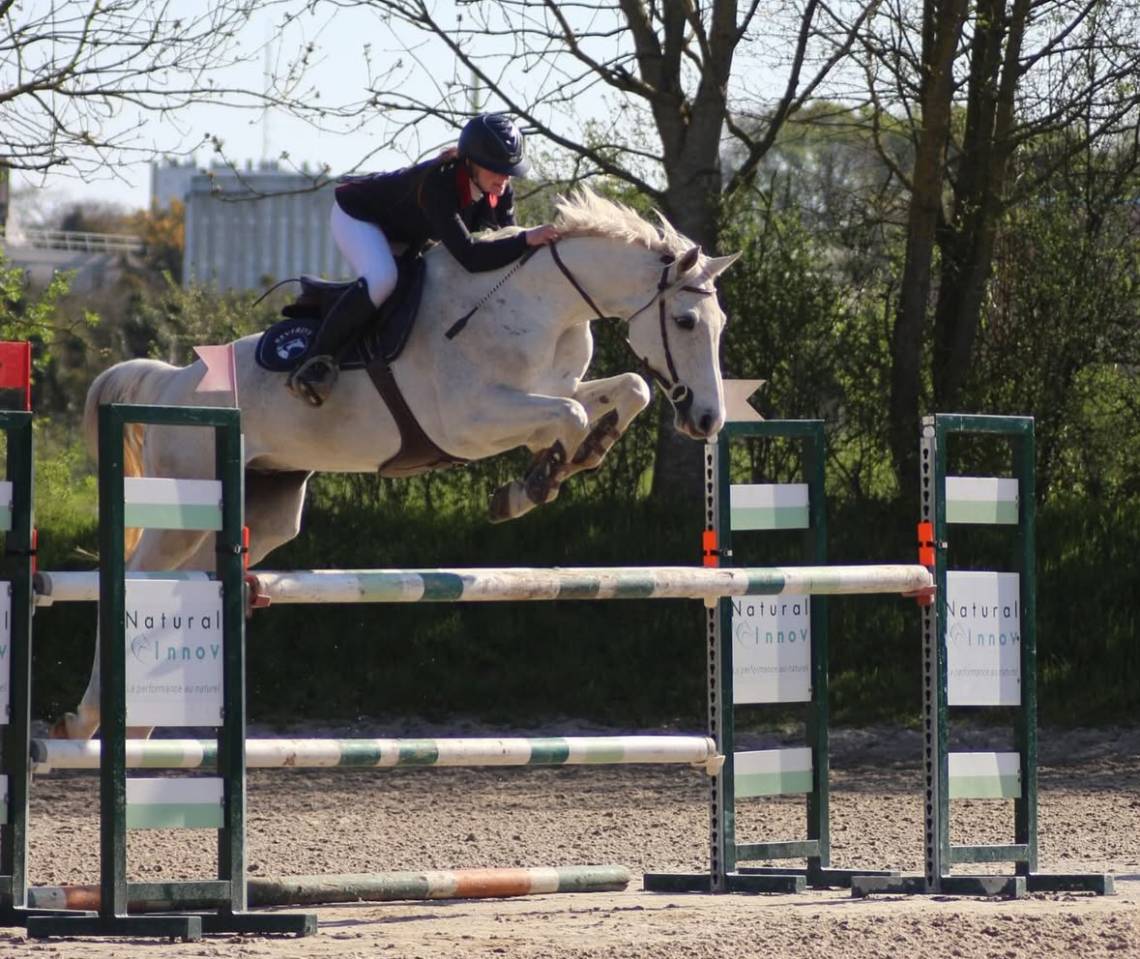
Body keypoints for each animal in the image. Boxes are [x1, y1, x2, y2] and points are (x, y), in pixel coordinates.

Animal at [53, 187, 739, 739]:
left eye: (720, 322)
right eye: (684, 320)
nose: (707, 420)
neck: (538, 308)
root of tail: (173, 380)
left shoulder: (547, 392)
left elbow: (628, 389)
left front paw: (579, 458)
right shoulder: (470, 423)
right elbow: (568, 418)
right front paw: (531, 486)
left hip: (265, 510)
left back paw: (136, 725)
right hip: (183, 509)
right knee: (136, 576)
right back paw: (87, 719)